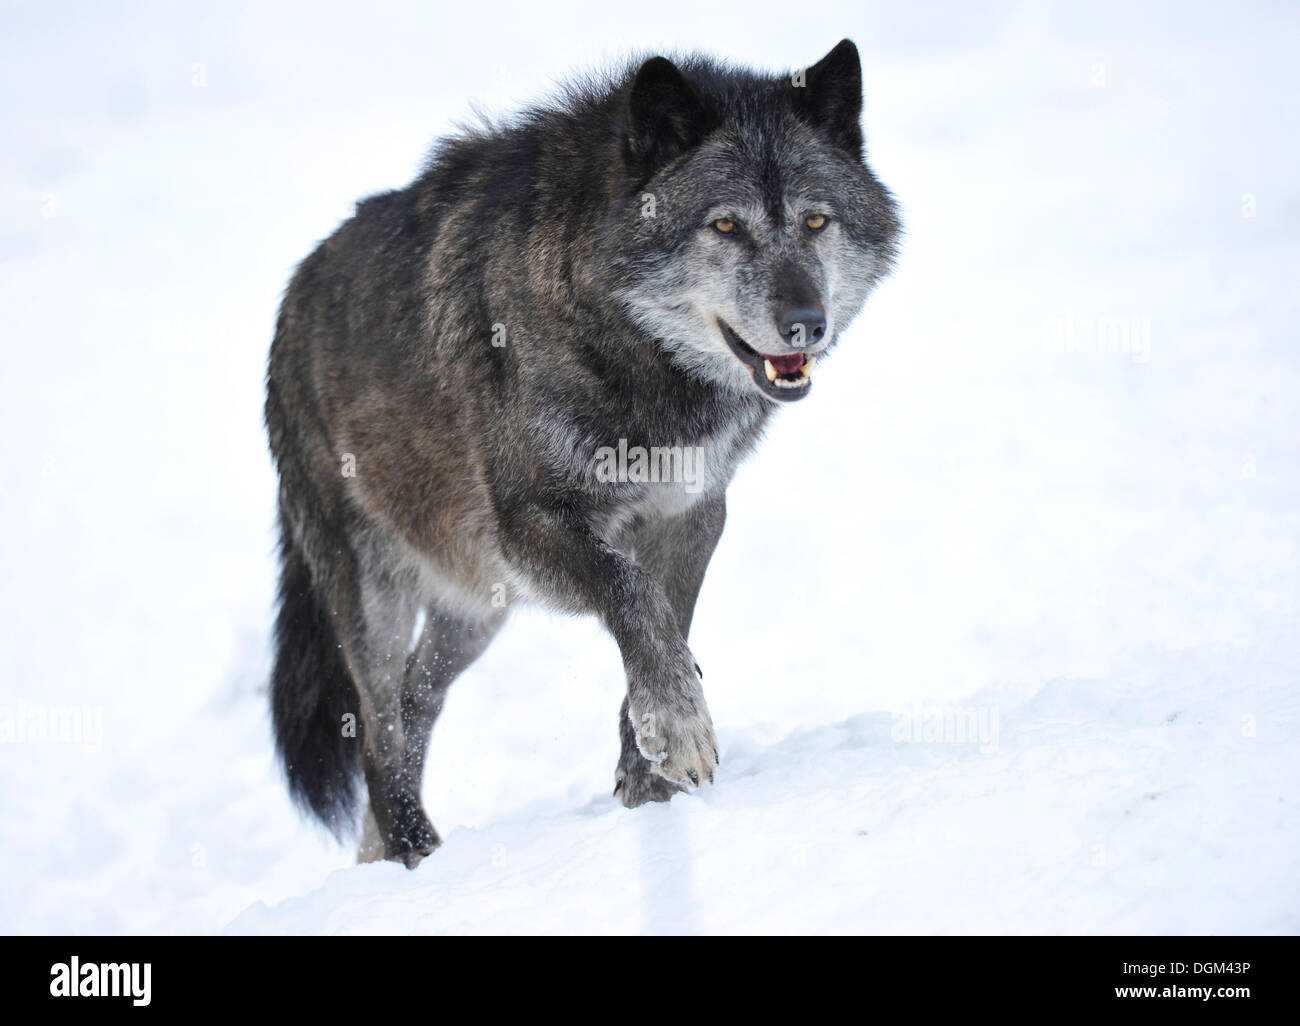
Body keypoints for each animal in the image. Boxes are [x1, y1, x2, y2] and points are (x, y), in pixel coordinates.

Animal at [261, 39, 894, 863]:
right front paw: (678, 728)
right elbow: (631, 594)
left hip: (477, 608)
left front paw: (648, 777)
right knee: (377, 730)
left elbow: (664, 620)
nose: (805, 324)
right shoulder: (534, 524)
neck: (635, 352)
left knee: (415, 701)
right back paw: (416, 855)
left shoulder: (693, 515)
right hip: (376, 595)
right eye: (725, 225)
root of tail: (292, 298)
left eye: (817, 220)